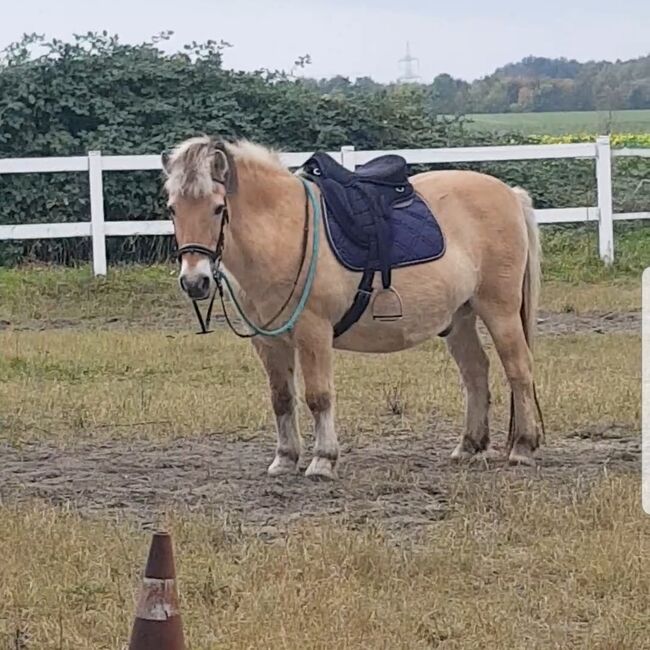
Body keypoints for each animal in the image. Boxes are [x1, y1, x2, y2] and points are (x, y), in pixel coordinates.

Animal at [161, 134, 540, 478]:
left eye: (218, 208)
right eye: (172, 209)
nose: (194, 282)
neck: (284, 232)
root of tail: (510, 194)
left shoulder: (313, 332)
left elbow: (318, 396)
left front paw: (323, 460)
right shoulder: (267, 340)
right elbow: (281, 397)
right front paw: (285, 458)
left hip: (500, 311)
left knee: (519, 370)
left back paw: (523, 446)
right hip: (460, 318)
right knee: (476, 372)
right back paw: (469, 446)